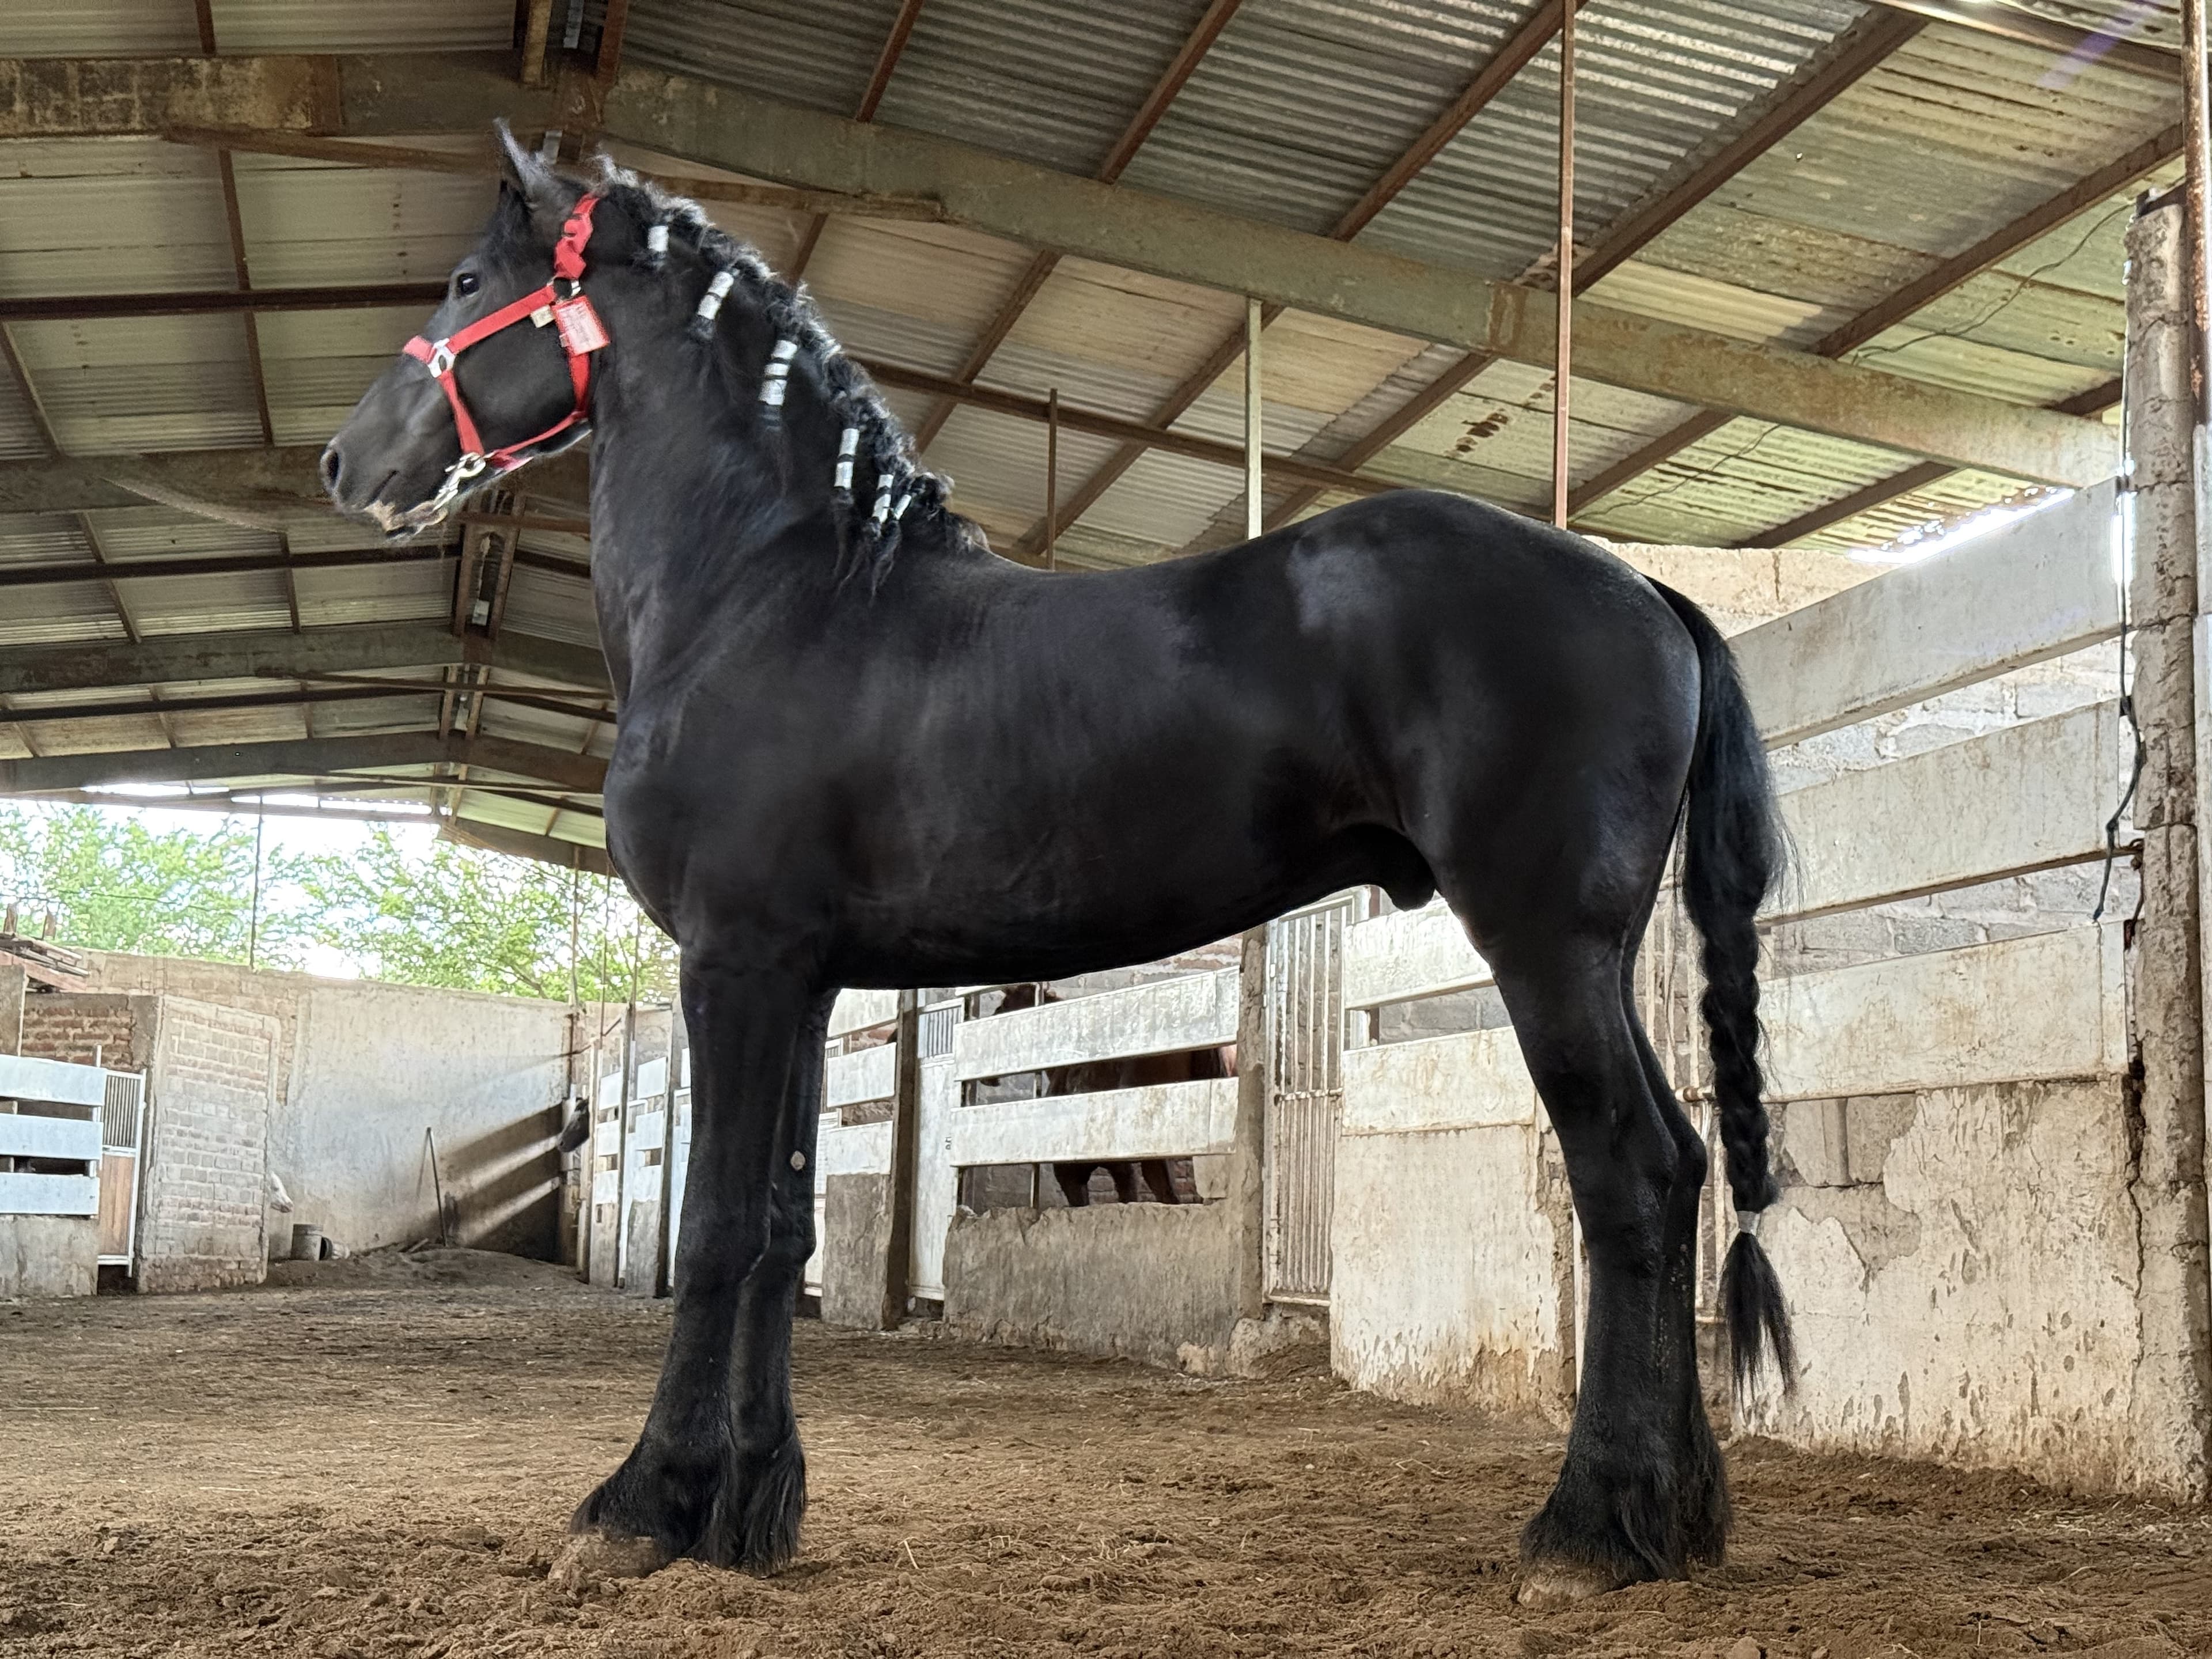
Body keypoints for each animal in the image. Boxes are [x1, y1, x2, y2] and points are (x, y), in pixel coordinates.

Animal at [321, 128, 1794, 1607]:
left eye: (466, 281)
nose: (343, 460)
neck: (769, 601)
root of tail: (1644, 590)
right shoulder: (798, 980)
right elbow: (784, 1223)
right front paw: (749, 1511)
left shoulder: (731, 965)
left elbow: (721, 1224)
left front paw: (643, 1507)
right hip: (1591, 956)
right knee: (1675, 1174)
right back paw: (1673, 1518)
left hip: (1545, 948)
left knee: (1633, 1177)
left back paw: (1589, 1529)